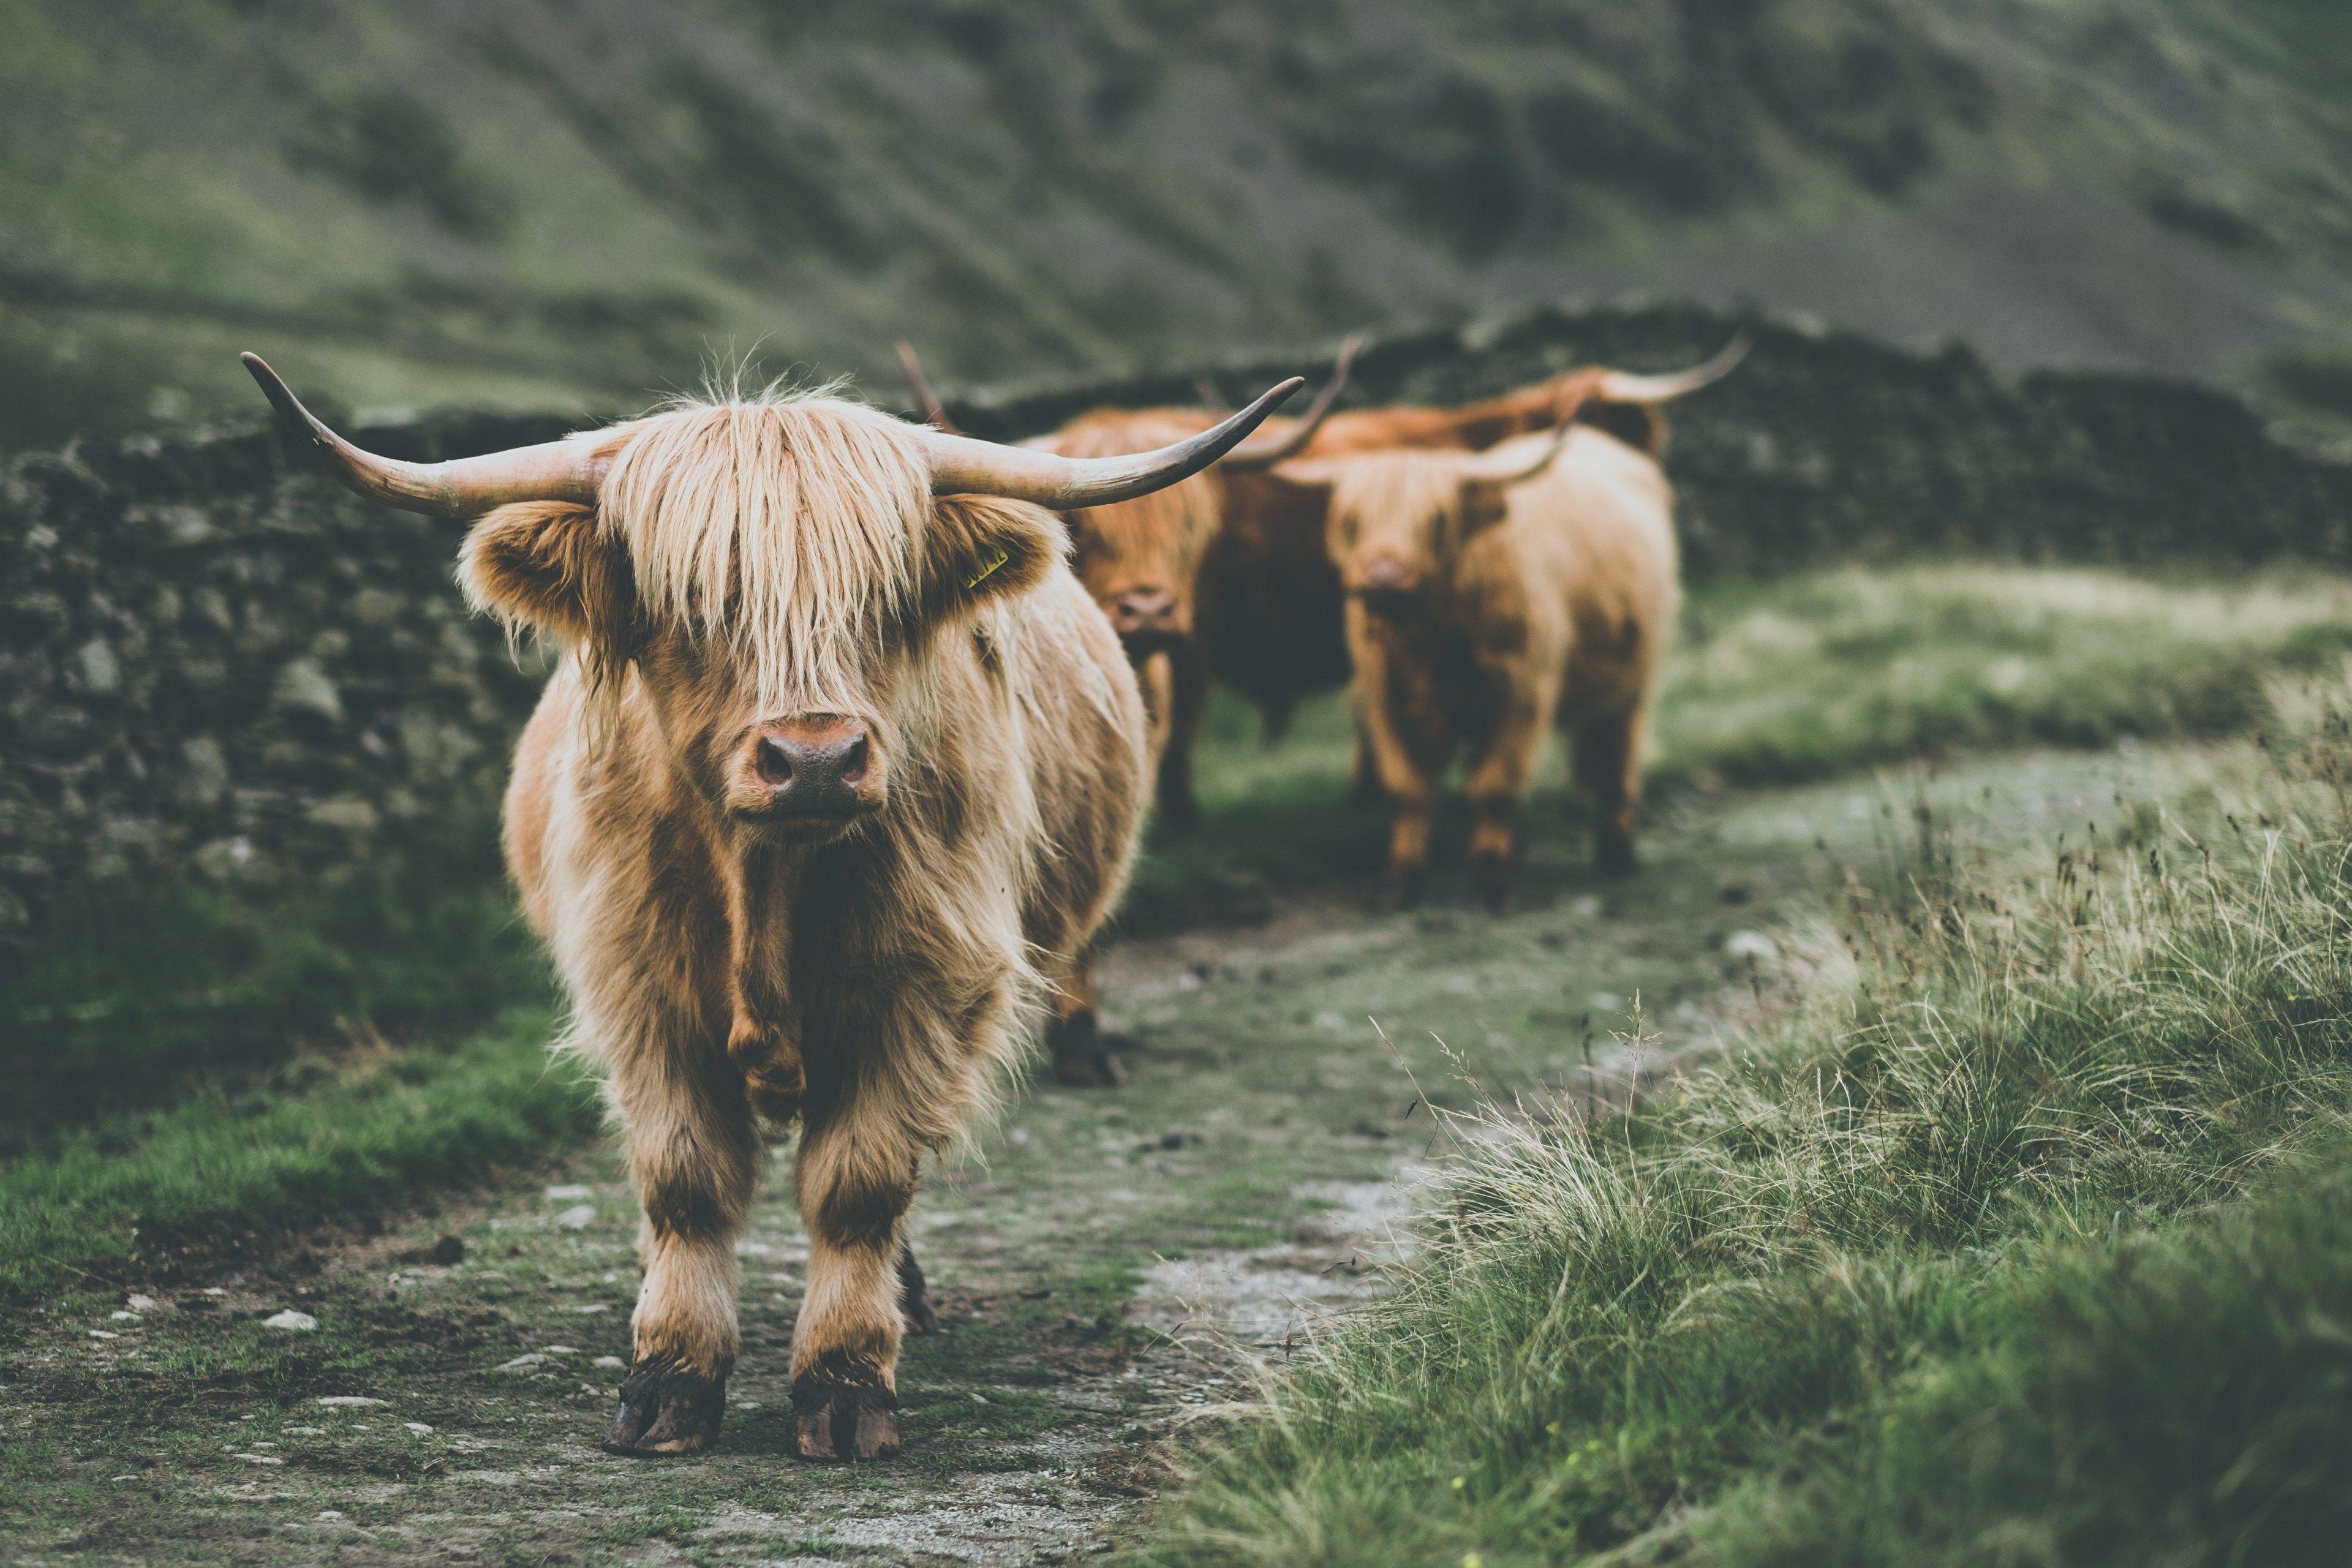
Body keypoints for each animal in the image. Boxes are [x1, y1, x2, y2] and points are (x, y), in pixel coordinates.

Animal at [239, 352, 1301, 1461]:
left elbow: (861, 1183)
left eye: (884, 596)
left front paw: (844, 1383)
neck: (766, 888)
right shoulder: (638, 993)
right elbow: (685, 1181)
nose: (817, 758)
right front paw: (666, 1379)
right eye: (695, 599)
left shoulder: (927, 992)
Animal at [1263, 414, 1683, 910]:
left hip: (1634, 676)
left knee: (1616, 757)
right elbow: (1409, 788)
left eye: (1437, 520)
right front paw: (1400, 879)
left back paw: (1617, 851)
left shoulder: (1523, 692)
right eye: (1352, 520)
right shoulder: (1384, 697)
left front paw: (1491, 878)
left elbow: (1494, 786)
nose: (1384, 577)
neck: (1426, 642)